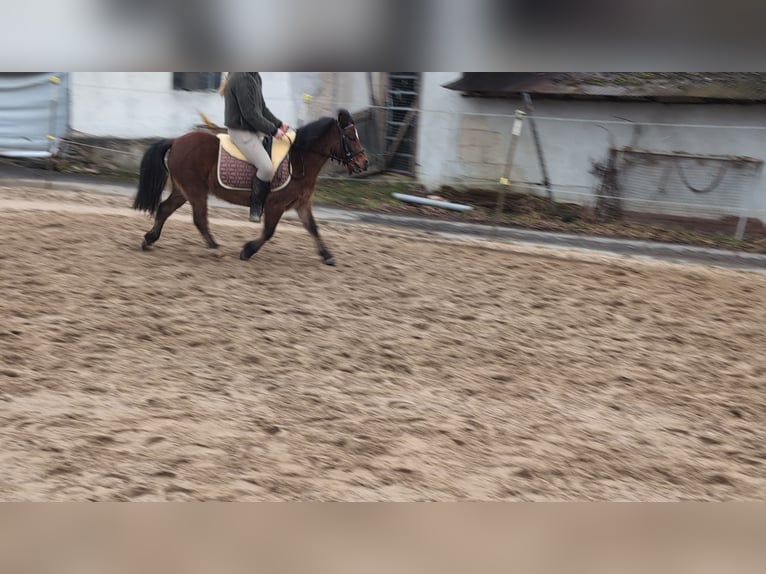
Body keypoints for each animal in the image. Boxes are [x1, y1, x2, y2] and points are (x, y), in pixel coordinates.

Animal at [131, 109, 369, 265]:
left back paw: (149, 240)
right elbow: (269, 231)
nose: (364, 162)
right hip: (195, 190)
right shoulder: (276, 204)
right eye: (350, 137)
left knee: (164, 209)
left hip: (183, 190)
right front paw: (247, 250)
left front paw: (327, 256)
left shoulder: (301, 203)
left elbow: (313, 228)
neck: (300, 158)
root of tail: (176, 141)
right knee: (199, 219)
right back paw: (215, 248)